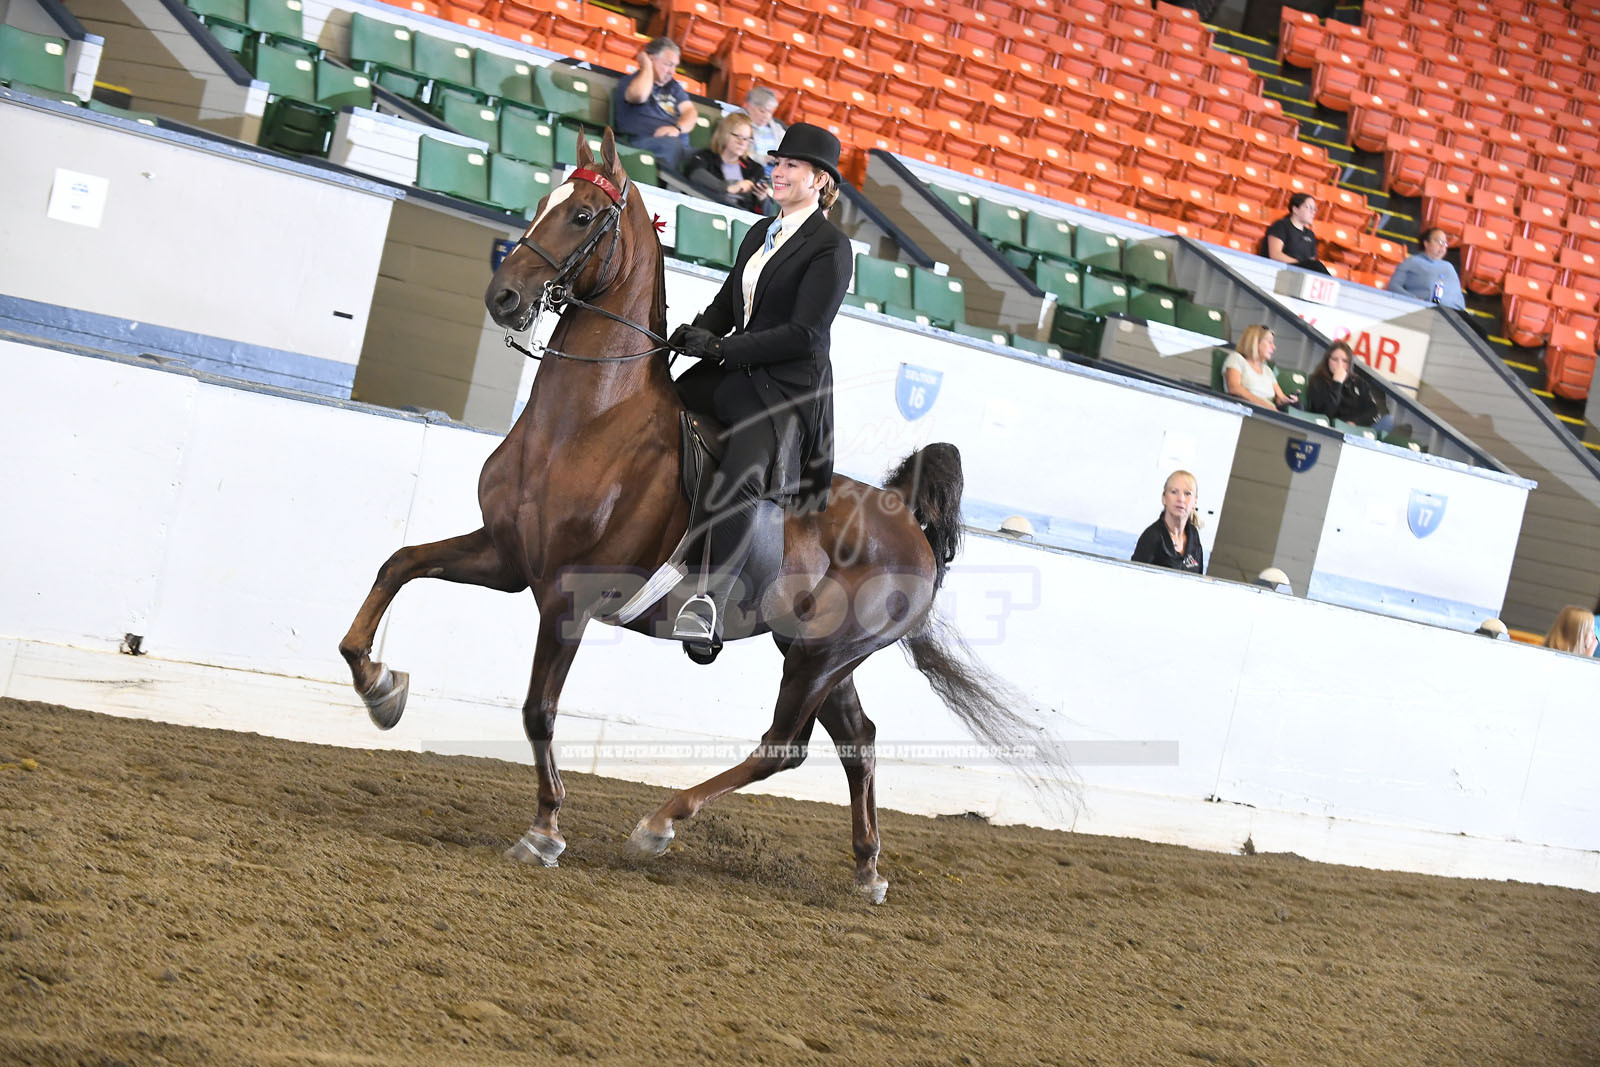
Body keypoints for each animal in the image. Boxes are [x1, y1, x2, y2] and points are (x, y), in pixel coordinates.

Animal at [339, 130, 1050, 903]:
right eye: (544, 201)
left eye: (583, 216)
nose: (504, 296)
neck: (587, 422)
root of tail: (910, 524)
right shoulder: (505, 558)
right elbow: (399, 564)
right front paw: (379, 687)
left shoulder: (565, 595)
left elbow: (538, 708)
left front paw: (546, 829)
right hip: (815, 652)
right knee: (857, 738)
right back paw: (865, 869)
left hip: (823, 655)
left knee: (785, 745)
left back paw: (661, 821)